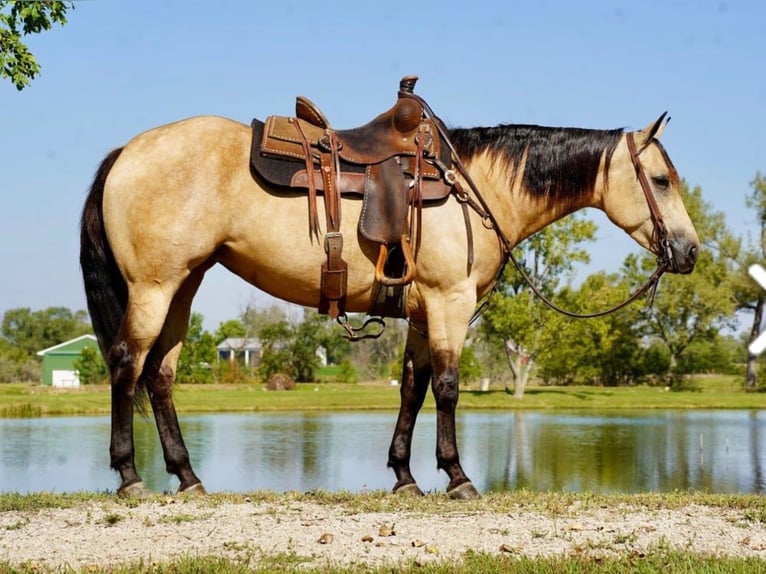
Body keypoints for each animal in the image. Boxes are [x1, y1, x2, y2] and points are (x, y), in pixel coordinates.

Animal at [80, 98, 699, 499]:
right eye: (661, 180)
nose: (690, 251)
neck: (475, 188)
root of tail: (127, 151)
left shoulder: (424, 313)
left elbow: (412, 388)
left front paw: (405, 476)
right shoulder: (449, 304)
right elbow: (447, 388)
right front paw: (458, 477)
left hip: (183, 285)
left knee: (160, 375)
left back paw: (188, 478)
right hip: (154, 288)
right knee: (127, 364)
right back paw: (130, 477)